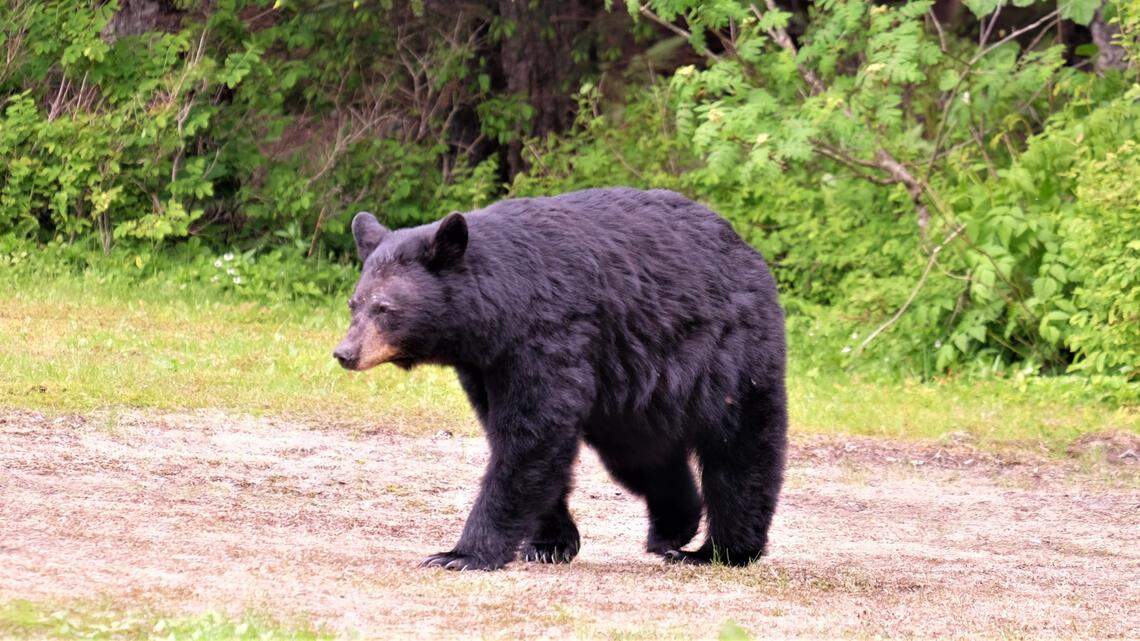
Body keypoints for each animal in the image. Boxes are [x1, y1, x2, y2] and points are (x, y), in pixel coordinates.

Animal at [333, 187, 787, 570]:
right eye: (354, 303)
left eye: (385, 308)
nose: (345, 353)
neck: (500, 311)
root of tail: (747, 250)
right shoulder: (486, 365)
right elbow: (516, 437)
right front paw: (549, 544)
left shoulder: (548, 335)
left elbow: (533, 434)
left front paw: (460, 554)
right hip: (632, 394)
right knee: (643, 456)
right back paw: (672, 529)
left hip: (729, 354)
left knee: (740, 447)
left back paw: (722, 550)